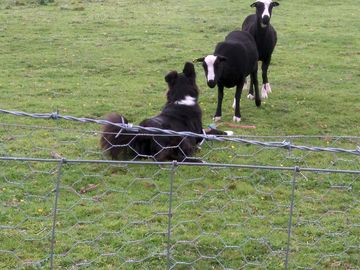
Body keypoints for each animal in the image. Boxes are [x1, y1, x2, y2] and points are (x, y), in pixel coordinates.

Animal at [100, 62, 232, 161]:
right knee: (174, 156)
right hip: (179, 138)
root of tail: (141, 133)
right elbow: (212, 131)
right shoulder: (198, 133)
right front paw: (228, 132)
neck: (181, 97)